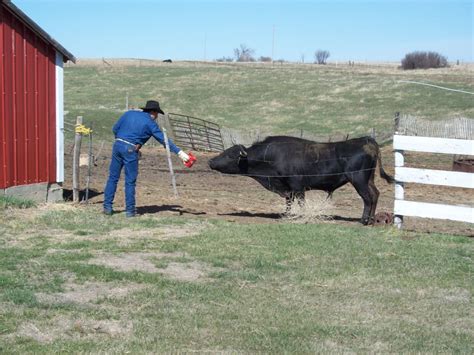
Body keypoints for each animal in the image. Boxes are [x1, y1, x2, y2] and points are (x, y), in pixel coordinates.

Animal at [209, 136, 394, 225]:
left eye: (230, 154)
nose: (210, 161)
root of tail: (366, 140)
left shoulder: (297, 186)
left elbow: (301, 202)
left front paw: (302, 216)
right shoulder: (288, 188)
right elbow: (289, 202)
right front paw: (287, 215)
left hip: (359, 180)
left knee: (368, 198)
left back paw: (364, 221)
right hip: (368, 180)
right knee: (375, 195)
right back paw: (372, 219)